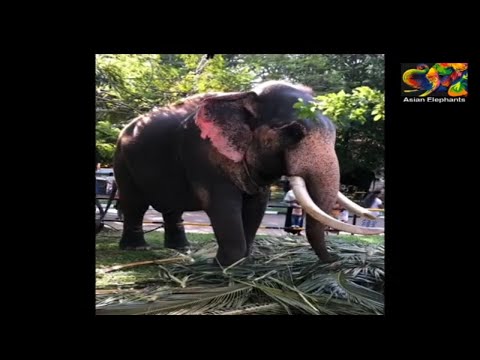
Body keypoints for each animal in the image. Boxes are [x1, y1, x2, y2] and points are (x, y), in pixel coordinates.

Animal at [111, 80, 382, 264]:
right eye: (294, 132)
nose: (337, 261)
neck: (244, 96)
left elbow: (256, 205)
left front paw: (243, 262)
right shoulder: (202, 155)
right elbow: (223, 205)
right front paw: (223, 266)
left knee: (171, 208)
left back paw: (181, 250)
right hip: (122, 162)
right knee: (135, 205)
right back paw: (137, 249)